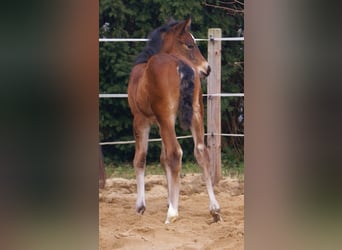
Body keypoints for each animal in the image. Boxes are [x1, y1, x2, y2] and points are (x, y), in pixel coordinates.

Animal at [128, 18, 222, 224]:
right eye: (189, 44)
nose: (207, 69)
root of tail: (180, 64)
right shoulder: (160, 122)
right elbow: (163, 159)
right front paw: (169, 198)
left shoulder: (141, 119)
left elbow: (141, 158)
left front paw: (141, 206)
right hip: (195, 114)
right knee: (201, 151)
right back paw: (214, 209)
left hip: (166, 117)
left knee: (176, 153)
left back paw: (172, 213)